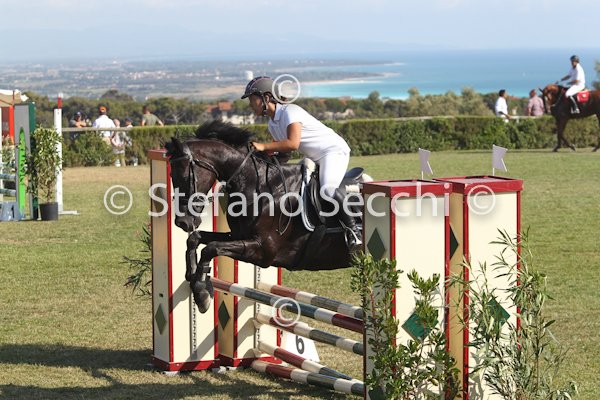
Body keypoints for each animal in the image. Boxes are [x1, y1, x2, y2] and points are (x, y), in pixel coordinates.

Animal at [165, 121, 363, 312]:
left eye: (184, 176)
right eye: (171, 175)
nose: (183, 222)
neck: (258, 185)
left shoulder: (263, 250)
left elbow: (211, 248)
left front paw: (201, 292)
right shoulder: (237, 236)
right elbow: (195, 238)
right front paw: (193, 276)